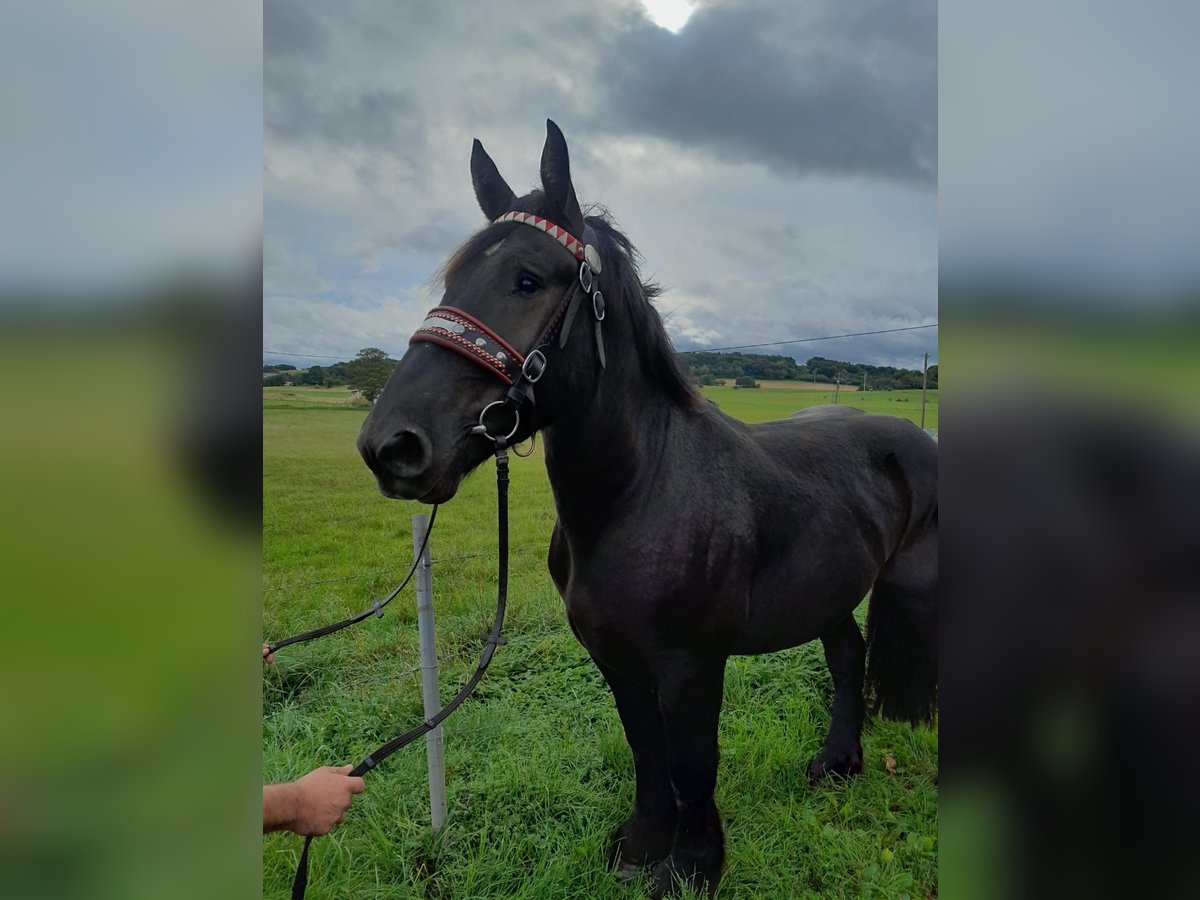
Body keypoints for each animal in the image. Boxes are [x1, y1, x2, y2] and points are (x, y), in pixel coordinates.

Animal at [355, 123, 936, 897]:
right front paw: (642, 847)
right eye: (452, 282)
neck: (639, 494)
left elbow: (691, 763)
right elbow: (647, 751)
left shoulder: (690, 667)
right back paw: (839, 761)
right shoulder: (616, 658)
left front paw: (693, 866)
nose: (391, 446)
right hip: (830, 591)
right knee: (847, 654)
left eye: (528, 280)